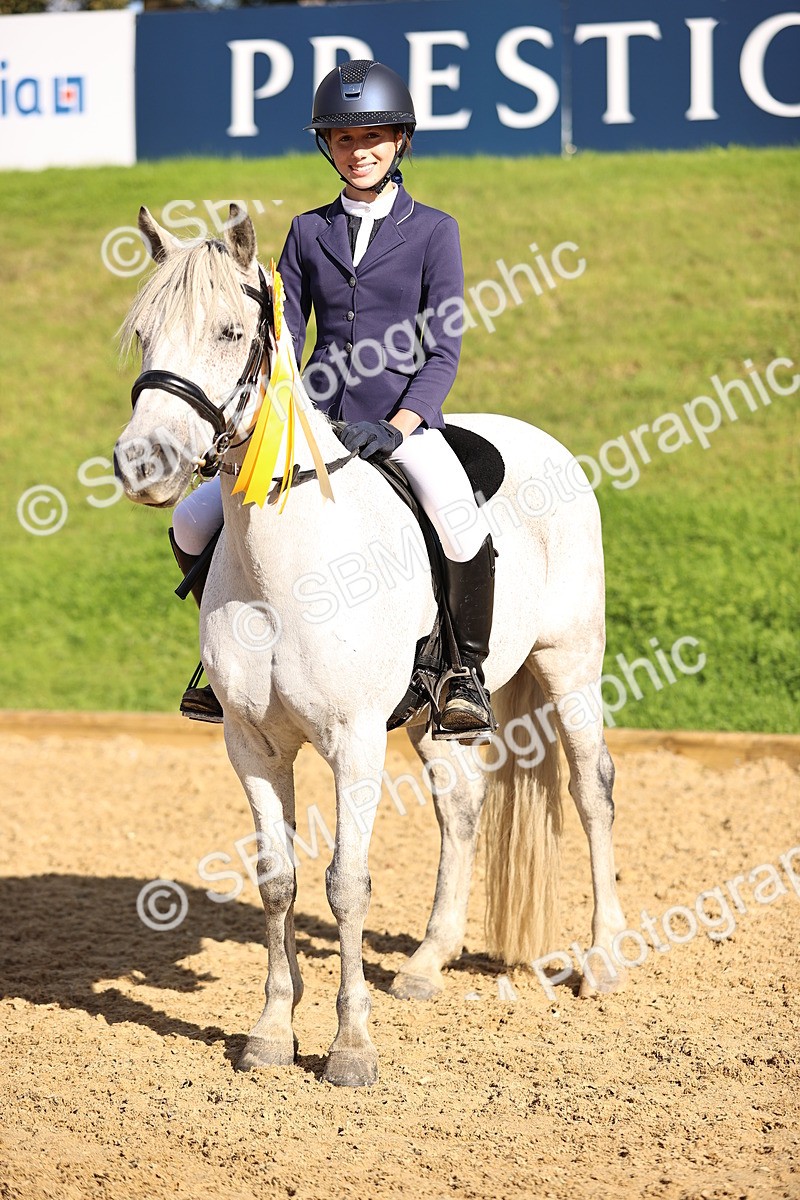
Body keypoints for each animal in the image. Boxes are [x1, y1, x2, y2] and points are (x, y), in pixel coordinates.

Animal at [113, 205, 627, 1088]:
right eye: (144, 333)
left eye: (229, 331)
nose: (144, 463)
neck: (285, 561)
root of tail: (538, 439)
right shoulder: (251, 744)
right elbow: (278, 881)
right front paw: (271, 1033)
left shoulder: (353, 742)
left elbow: (346, 884)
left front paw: (350, 1048)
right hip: (432, 711)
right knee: (462, 803)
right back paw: (426, 964)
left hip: (569, 662)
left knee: (591, 788)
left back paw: (601, 962)